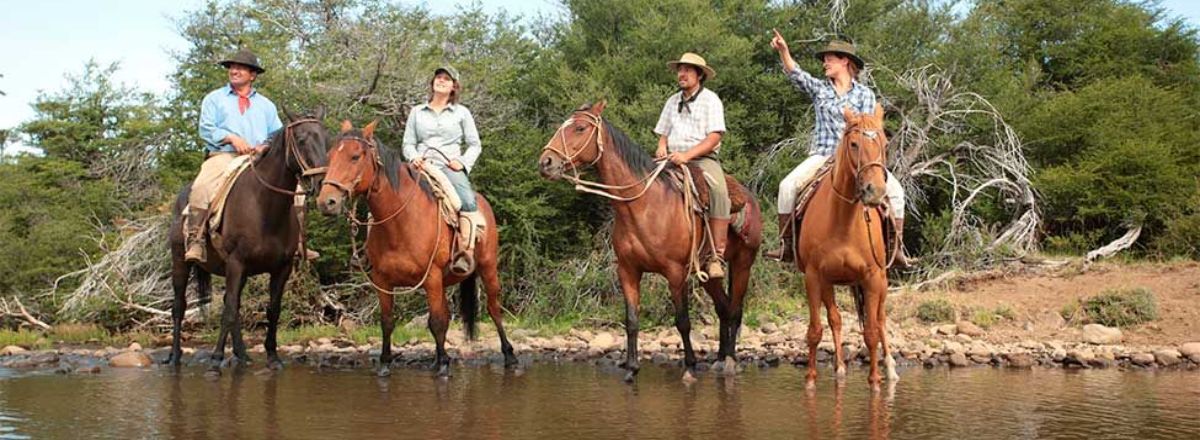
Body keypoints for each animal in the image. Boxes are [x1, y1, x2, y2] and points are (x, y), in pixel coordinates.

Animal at [164, 107, 331, 371]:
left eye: (327, 139)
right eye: (301, 139)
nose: (323, 183)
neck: (265, 207)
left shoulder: (281, 268)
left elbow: (272, 310)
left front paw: (272, 356)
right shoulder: (236, 263)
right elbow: (229, 311)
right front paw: (216, 358)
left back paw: (242, 355)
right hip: (181, 262)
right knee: (179, 307)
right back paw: (174, 356)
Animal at [314, 120, 516, 378]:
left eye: (355, 156)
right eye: (330, 156)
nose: (326, 202)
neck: (400, 223)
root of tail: (482, 202)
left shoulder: (432, 277)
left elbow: (437, 321)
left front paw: (444, 366)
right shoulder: (382, 281)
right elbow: (388, 321)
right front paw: (385, 364)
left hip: (488, 268)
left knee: (493, 309)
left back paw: (509, 356)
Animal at [540, 100, 763, 383]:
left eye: (580, 128)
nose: (546, 162)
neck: (643, 206)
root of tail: (750, 199)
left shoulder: (676, 273)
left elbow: (682, 321)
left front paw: (690, 367)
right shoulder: (628, 271)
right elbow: (632, 320)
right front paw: (632, 368)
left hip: (743, 263)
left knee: (734, 310)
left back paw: (731, 362)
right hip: (708, 273)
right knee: (723, 308)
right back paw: (721, 359)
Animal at [792, 104, 897, 388]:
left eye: (885, 143)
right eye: (853, 144)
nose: (875, 192)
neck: (844, 222)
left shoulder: (872, 277)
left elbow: (871, 332)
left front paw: (875, 378)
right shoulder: (814, 277)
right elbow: (816, 330)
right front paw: (810, 378)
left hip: (882, 282)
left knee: (881, 320)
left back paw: (891, 368)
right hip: (829, 283)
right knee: (835, 319)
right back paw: (839, 367)